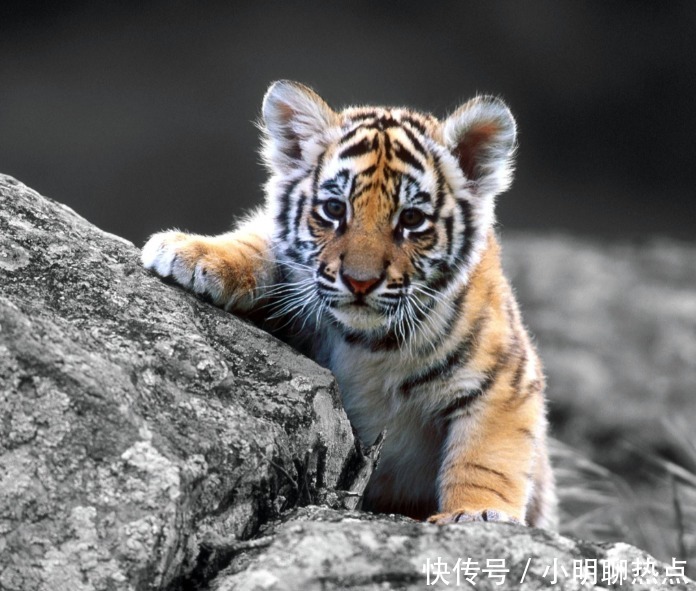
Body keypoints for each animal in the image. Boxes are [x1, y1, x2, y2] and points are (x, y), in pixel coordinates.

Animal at [141, 80, 557, 528]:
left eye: (411, 219)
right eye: (334, 209)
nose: (360, 281)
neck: (369, 343)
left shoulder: (506, 381)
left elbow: (486, 459)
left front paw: (477, 514)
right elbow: (259, 242)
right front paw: (190, 252)